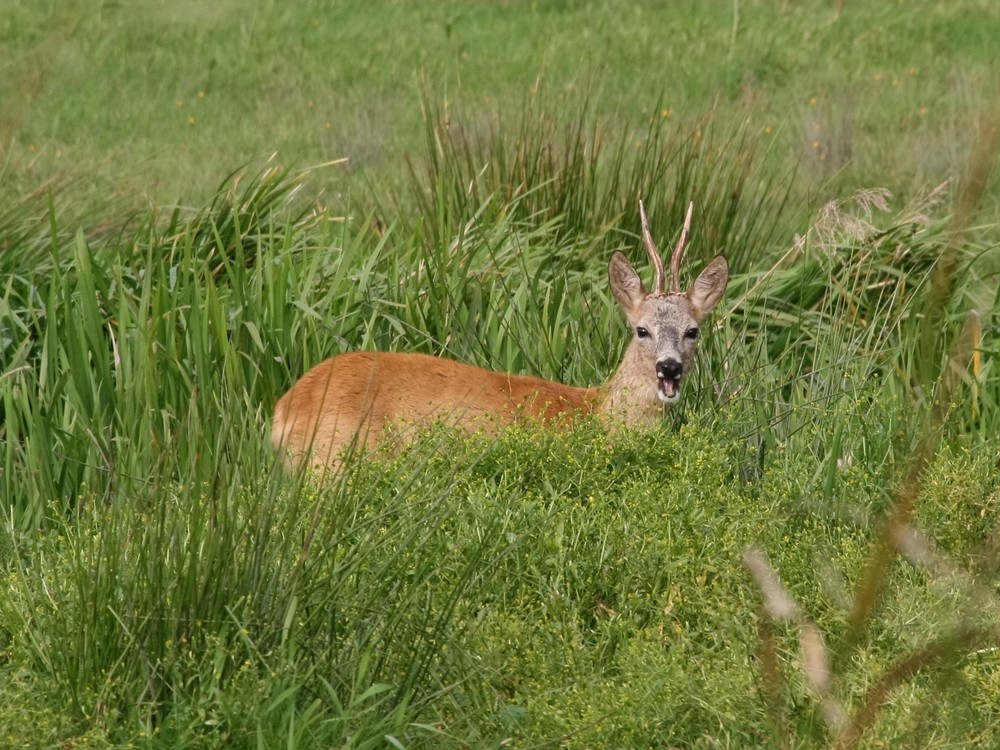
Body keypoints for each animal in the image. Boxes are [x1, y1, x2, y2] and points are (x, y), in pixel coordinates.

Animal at [272, 201, 728, 470]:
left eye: (693, 330)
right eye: (641, 329)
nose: (668, 368)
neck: (595, 413)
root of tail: (284, 409)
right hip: (332, 463)